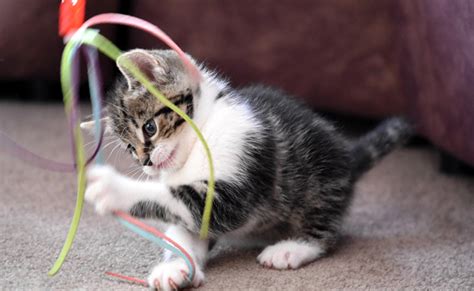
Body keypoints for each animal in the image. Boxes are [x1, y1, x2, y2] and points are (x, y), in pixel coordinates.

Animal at [80, 49, 412, 290]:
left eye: (149, 128)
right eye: (129, 149)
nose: (146, 162)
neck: (200, 141)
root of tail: (348, 156)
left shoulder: (242, 169)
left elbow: (177, 197)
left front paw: (113, 188)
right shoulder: (194, 212)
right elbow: (184, 228)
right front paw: (176, 267)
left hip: (318, 182)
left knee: (325, 231)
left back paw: (291, 248)